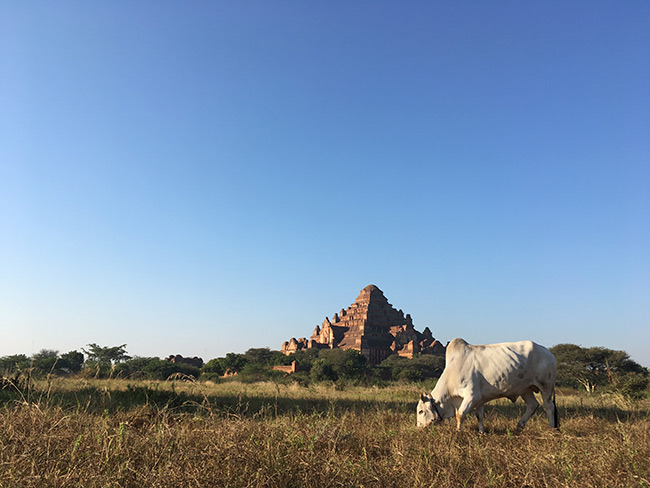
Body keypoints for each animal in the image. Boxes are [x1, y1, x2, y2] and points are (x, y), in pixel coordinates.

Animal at [416, 338, 556, 432]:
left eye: (421, 411)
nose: (418, 428)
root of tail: (549, 353)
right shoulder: (480, 399)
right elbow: (480, 416)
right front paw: (481, 432)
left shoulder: (471, 395)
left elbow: (460, 414)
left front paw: (458, 431)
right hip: (524, 389)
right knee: (533, 405)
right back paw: (519, 426)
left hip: (546, 386)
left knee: (549, 406)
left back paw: (552, 429)